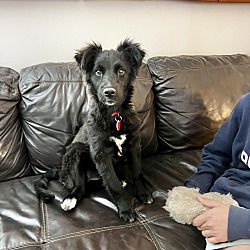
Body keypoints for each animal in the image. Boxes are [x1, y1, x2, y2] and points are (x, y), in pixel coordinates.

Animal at [34, 39, 153, 223]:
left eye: (121, 71)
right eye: (98, 72)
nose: (109, 92)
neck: (115, 116)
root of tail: (60, 171)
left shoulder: (134, 145)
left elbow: (137, 172)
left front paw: (144, 194)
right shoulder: (100, 154)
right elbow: (113, 184)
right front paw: (126, 210)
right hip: (76, 151)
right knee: (81, 186)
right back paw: (70, 198)